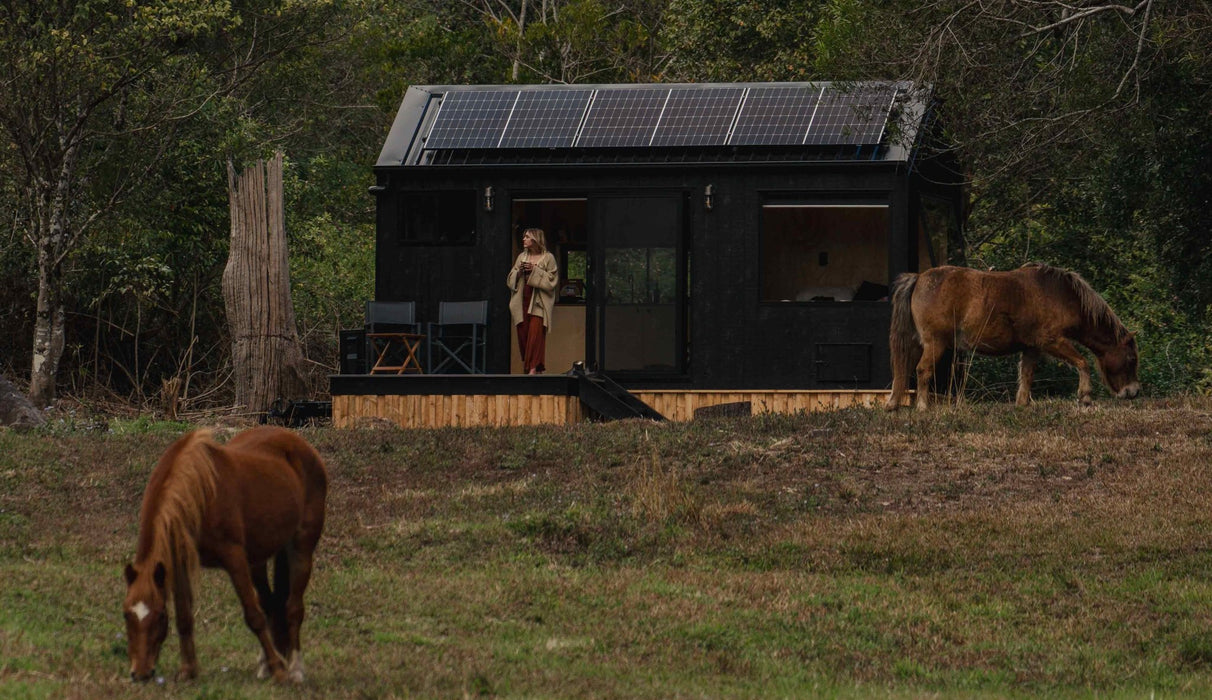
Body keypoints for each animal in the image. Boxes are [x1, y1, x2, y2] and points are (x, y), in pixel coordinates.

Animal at [122, 426, 327, 683]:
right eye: (126, 615)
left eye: (159, 615)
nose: (140, 673)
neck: (197, 493)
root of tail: (300, 444)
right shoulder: (179, 563)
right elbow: (184, 616)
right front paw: (188, 670)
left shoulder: (234, 559)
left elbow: (253, 616)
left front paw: (280, 670)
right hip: (258, 560)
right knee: (271, 604)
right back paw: (266, 665)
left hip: (301, 549)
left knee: (293, 608)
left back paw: (294, 669)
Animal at [887, 264, 1139, 411]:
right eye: (1131, 359)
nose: (1133, 392)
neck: (1059, 293)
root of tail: (919, 278)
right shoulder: (1052, 341)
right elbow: (1082, 362)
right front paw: (1085, 396)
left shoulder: (1032, 348)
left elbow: (1026, 375)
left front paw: (1022, 403)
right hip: (935, 344)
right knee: (922, 370)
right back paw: (922, 407)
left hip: (918, 344)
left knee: (905, 370)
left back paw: (894, 403)